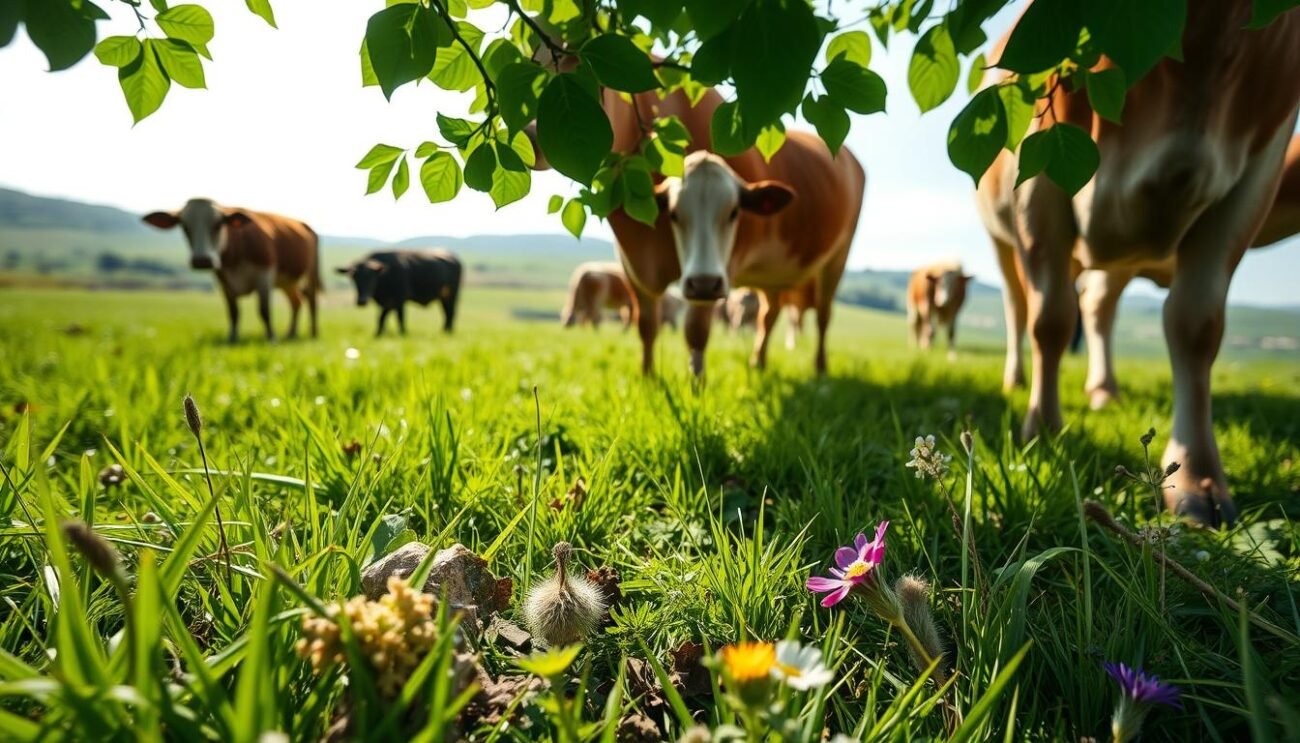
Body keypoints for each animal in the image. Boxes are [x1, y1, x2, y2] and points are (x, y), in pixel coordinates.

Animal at [143, 199, 319, 343]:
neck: (236, 251)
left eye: (218, 224)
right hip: (288, 282)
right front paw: (232, 338)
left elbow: (264, 310)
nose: (201, 260)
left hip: (310, 273)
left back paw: (313, 333)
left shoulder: (264, 274)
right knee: (296, 302)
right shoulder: (224, 280)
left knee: (311, 299)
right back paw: (291, 334)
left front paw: (271, 338)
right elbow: (233, 312)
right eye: (185, 226)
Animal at [975, 0, 1300, 525]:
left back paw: (1104, 390)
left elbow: (1196, 325)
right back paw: (1016, 380)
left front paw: (1198, 476)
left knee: (1097, 306)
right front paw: (1042, 432)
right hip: (1002, 235)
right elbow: (1050, 321)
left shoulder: (1255, 174)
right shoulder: (1041, 166)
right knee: (1020, 308)